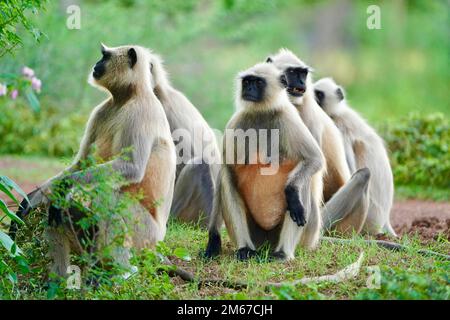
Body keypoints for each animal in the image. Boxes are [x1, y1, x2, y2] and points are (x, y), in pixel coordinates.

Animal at [14, 43, 176, 276]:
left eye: (105, 57)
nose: (96, 64)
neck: (128, 97)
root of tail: (159, 241)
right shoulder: (101, 111)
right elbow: (80, 163)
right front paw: (33, 197)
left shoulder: (141, 111)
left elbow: (132, 168)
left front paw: (63, 187)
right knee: (59, 211)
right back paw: (63, 275)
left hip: (145, 234)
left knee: (106, 194)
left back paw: (121, 270)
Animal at [204, 62, 324, 260]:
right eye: (247, 81)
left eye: (258, 82)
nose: (249, 89)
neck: (262, 112)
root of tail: (266, 245)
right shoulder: (236, 123)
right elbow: (226, 169)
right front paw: (213, 239)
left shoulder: (288, 118)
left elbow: (314, 159)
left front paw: (292, 193)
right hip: (256, 234)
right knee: (228, 178)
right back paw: (245, 249)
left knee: (303, 183)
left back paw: (282, 253)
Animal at [266, 48, 370, 236]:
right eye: (292, 72)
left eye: (303, 73)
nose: (301, 82)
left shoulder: (306, 115)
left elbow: (312, 162)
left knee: (363, 175)